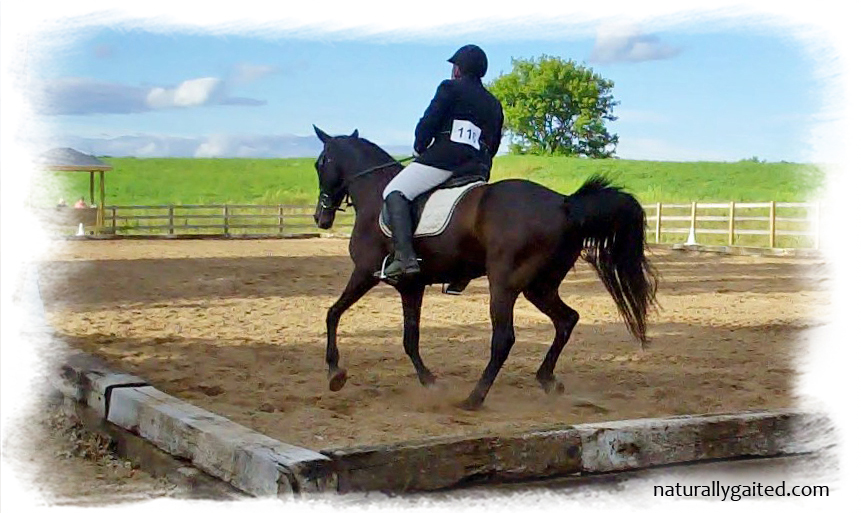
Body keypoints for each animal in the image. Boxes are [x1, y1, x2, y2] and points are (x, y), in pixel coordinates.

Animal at [311, 126, 658, 410]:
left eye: (319, 164)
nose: (320, 218)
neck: (374, 193)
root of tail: (565, 204)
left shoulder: (365, 272)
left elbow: (333, 313)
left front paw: (334, 373)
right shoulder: (411, 285)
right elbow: (410, 338)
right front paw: (431, 383)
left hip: (504, 284)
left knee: (504, 338)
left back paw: (473, 399)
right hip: (540, 286)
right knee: (566, 320)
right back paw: (547, 380)